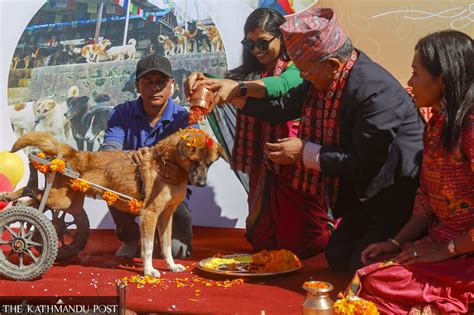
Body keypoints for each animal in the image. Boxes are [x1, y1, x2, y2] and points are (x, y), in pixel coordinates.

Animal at [1, 128, 228, 276]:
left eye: (210, 163)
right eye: (194, 161)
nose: (201, 183)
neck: (165, 164)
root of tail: (74, 154)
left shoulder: (165, 217)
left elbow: (165, 246)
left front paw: (171, 266)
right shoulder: (149, 215)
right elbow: (148, 247)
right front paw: (149, 271)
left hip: (67, 203)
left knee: (36, 200)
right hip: (59, 199)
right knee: (32, 193)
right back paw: (12, 201)